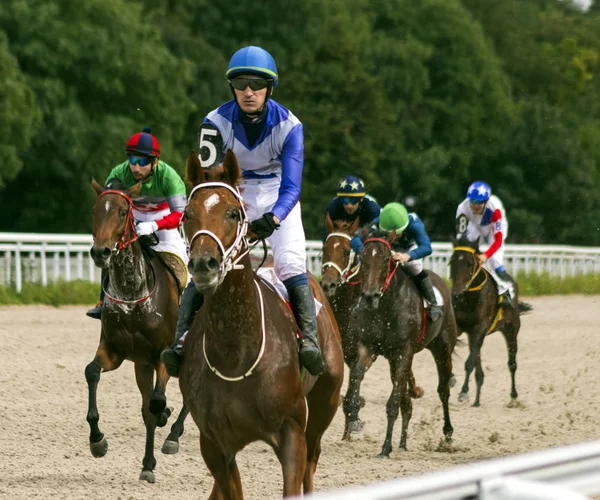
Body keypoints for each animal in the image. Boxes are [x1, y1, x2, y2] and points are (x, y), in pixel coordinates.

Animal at [86, 178, 179, 482]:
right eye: (95, 210)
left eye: (122, 212)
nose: (100, 252)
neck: (132, 291)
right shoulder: (115, 350)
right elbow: (92, 372)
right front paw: (97, 441)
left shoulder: (164, 352)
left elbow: (157, 402)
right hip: (142, 364)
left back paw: (173, 435)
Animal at [178, 150, 344, 498]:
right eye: (186, 215)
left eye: (232, 213)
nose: (203, 265)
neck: (235, 350)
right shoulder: (214, 444)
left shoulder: (292, 432)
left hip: (326, 401)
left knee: (312, 461)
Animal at [340, 236, 458, 456]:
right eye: (363, 258)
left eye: (386, 259)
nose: (370, 296)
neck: (387, 306)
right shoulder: (369, 348)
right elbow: (356, 375)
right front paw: (353, 419)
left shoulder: (404, 351)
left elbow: (393, 402)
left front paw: (386, 447)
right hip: (395, 360)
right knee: (406, 396)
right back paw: (403, 443)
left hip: (442, 349)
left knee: (443, 390)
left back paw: (447, 434)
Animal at [448, 235, 532, 406]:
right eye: (452, 262)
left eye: (470, 263)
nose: (456, 295)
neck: (470, 297)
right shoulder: (462, 328)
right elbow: (453, 350)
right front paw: (452, 379)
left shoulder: (480, 328)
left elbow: (469, 363)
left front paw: (463, 391)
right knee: (478, 368)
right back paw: (477, 399)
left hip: (511, 330)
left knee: (512, 364)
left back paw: (513, 395)